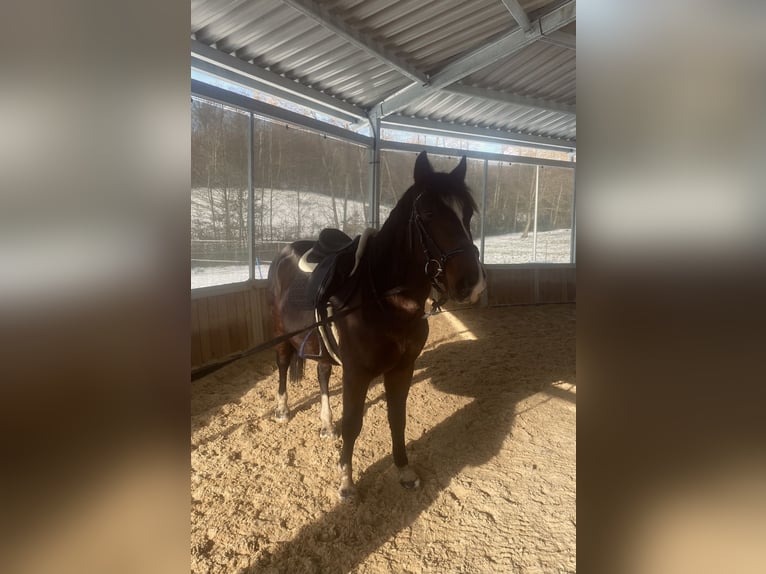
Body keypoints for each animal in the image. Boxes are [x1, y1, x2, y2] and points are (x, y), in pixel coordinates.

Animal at [266, 151, 486, 499]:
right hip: (281, 334)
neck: (384, 301)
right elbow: (353, 423)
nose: (472, 283)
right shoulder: (357, 374)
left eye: (468, 213)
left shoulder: (402, 369)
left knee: (323, 374)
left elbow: (397, 418)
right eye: (427, 212)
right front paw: (346, 482)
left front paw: (404, 470)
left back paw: (326, 424)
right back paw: (282, 410)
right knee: (284, 365)